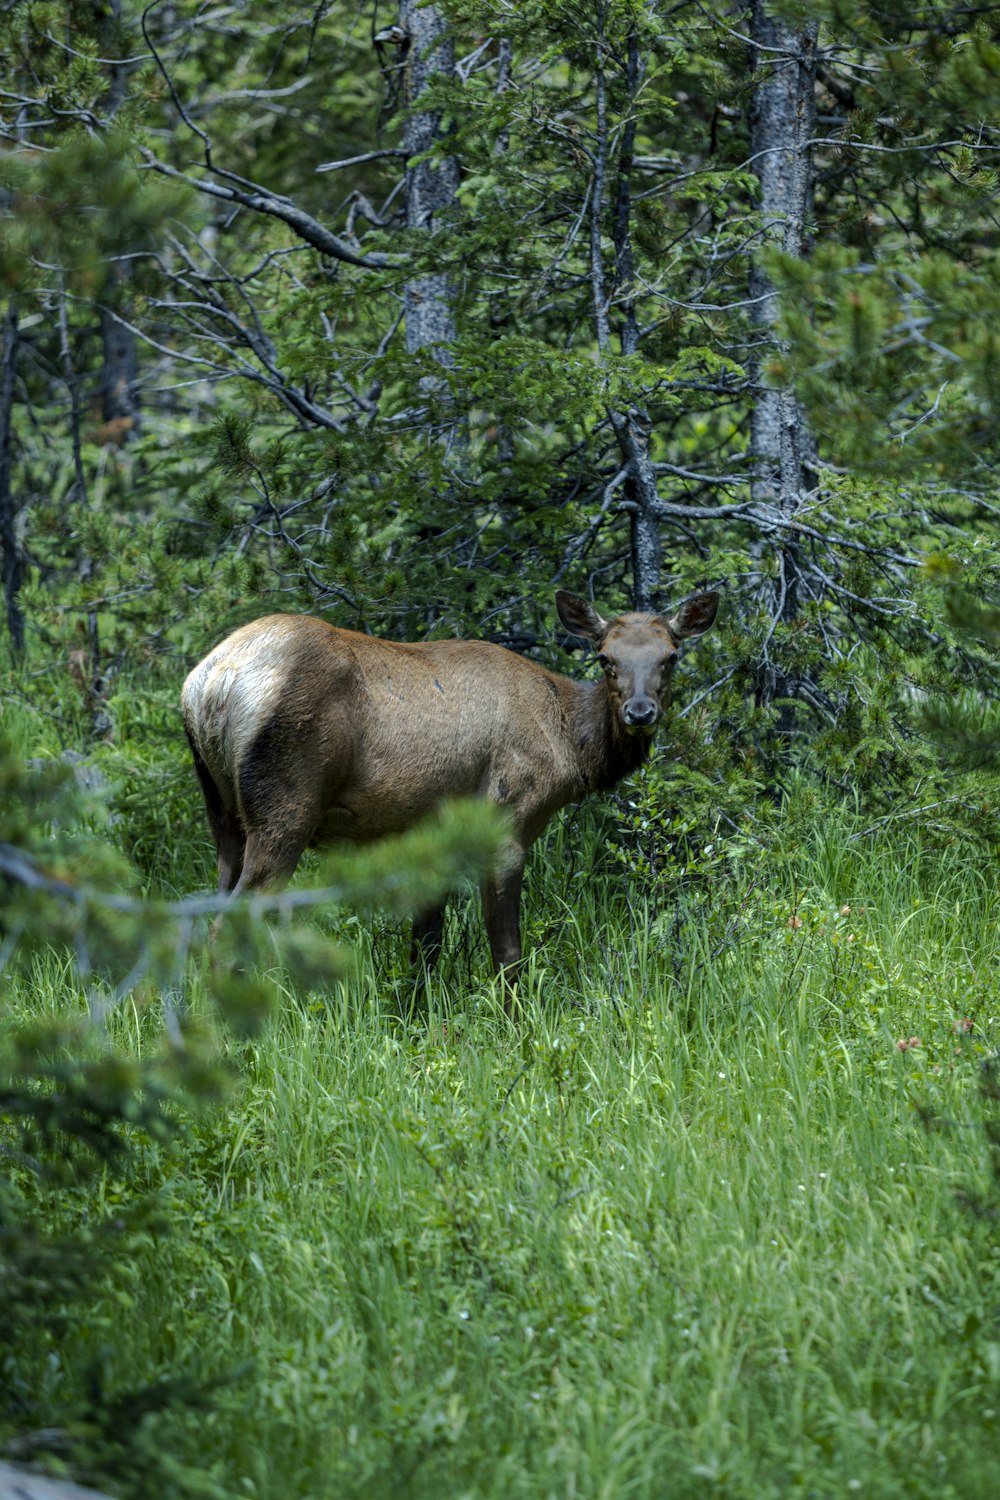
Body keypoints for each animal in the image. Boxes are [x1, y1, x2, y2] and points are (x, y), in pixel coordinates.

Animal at [179, 591, 719, 1002]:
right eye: (606, 658)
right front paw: (516, 1025)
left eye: (670, 656)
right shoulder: (508, 818)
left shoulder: (432, 831)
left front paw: (416, 1017)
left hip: (224, 815)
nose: (640, 712)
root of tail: (211, 683)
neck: (569, 746)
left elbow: (426, 941)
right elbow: (506, 949)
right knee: (229, 925)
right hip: (285, 806)